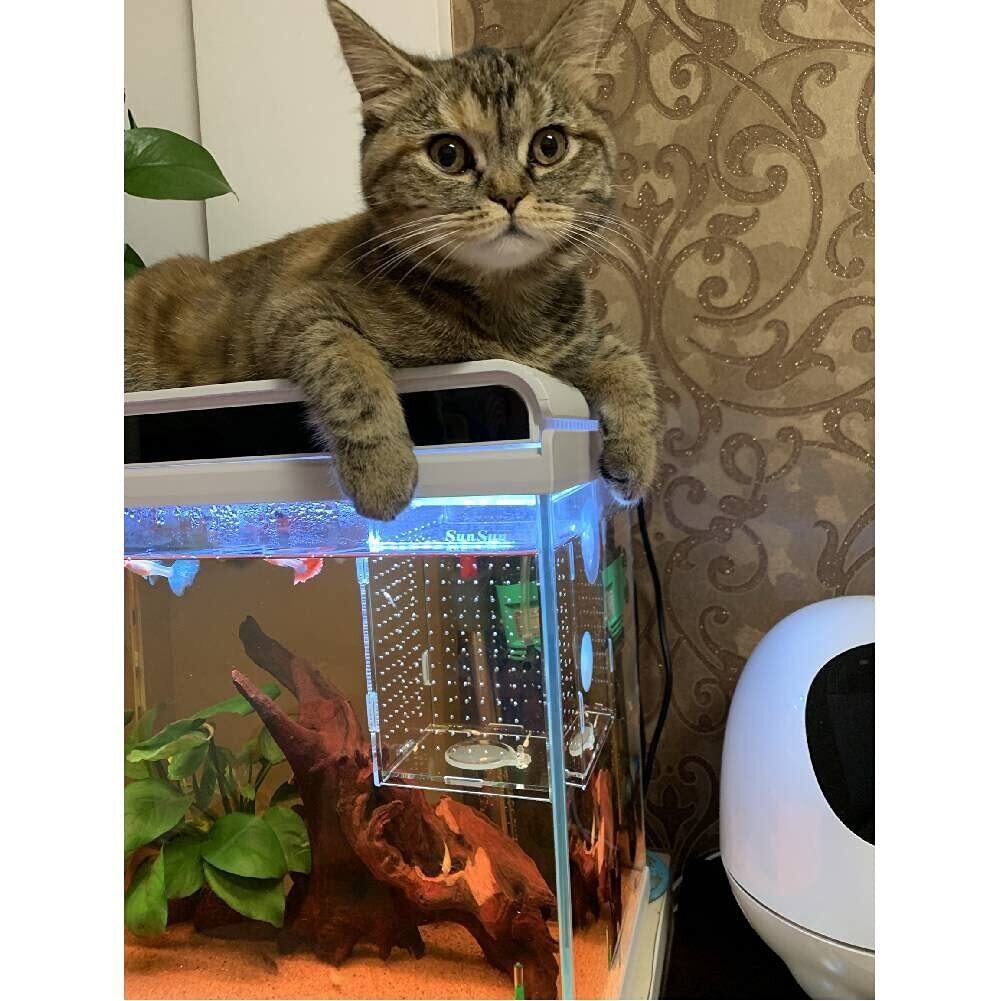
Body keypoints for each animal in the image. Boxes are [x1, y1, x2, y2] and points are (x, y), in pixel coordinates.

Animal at [125, 0, 659, 521]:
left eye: (549, 145)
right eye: (448, 153)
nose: (509, 195)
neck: (504, 307)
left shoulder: (578, 340)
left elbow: (626, 359)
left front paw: (638, 451)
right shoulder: (288, 311)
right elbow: (345, 360)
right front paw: (383, 469)